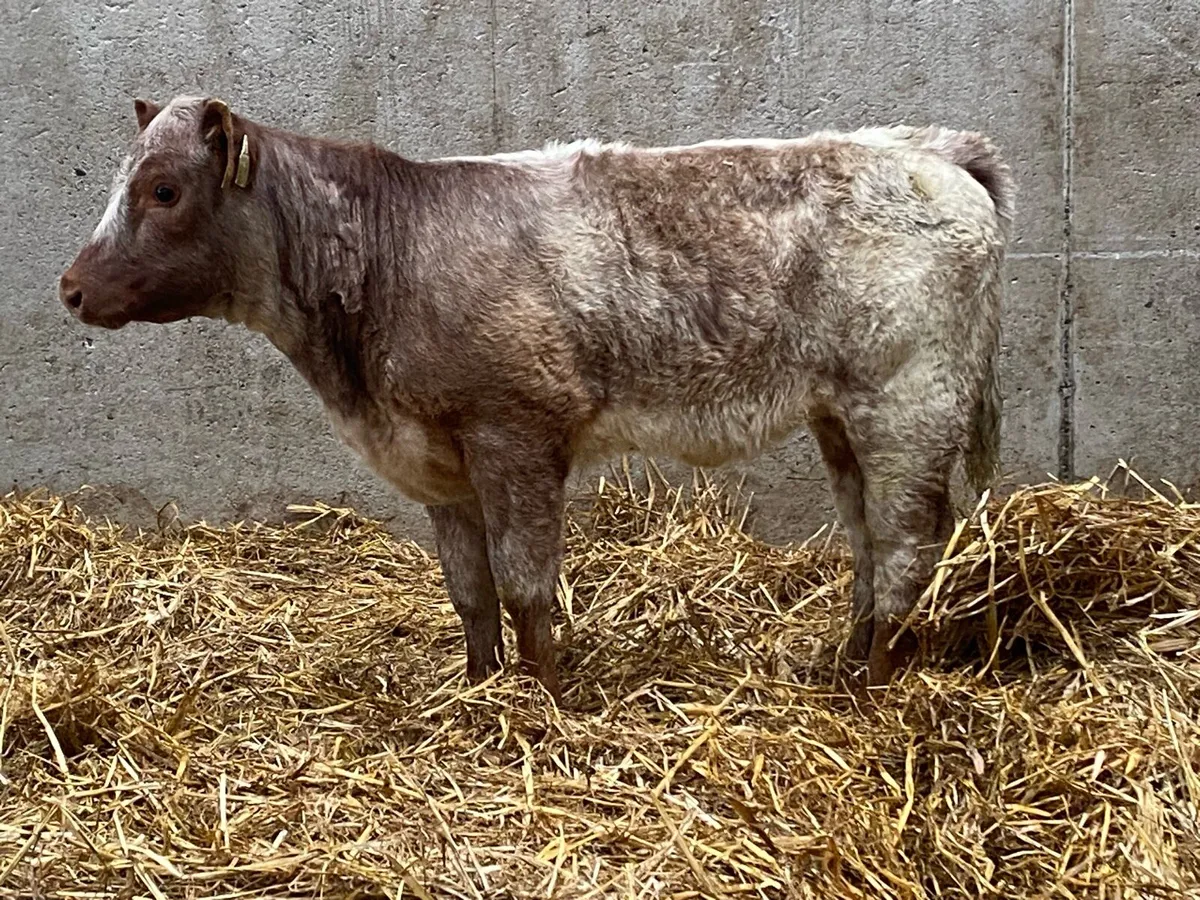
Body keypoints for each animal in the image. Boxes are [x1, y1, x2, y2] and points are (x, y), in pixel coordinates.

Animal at [58, 95, 1012, 701]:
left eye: (165, 189)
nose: (70, 289)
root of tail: (931, 150)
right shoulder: (437, 461)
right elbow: (471, 592)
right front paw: (480, 689)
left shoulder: (514, 433)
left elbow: (526, 587)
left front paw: (544, 701)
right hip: (840, 418)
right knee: (866, 546)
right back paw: (842, 667)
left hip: (908, 404)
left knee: (905, 549)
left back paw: (873, 685)